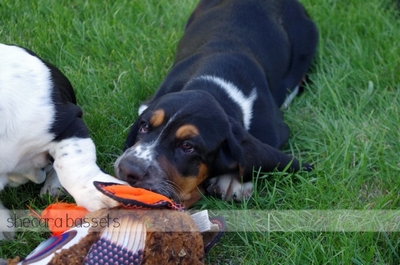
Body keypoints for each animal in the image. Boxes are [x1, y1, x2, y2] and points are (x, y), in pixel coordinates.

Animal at [114, 0, 318, 205]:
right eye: (144, 126)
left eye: (187, 146)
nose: (128, 168)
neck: (214, 86)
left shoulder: (273, 130)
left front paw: (232, 182)